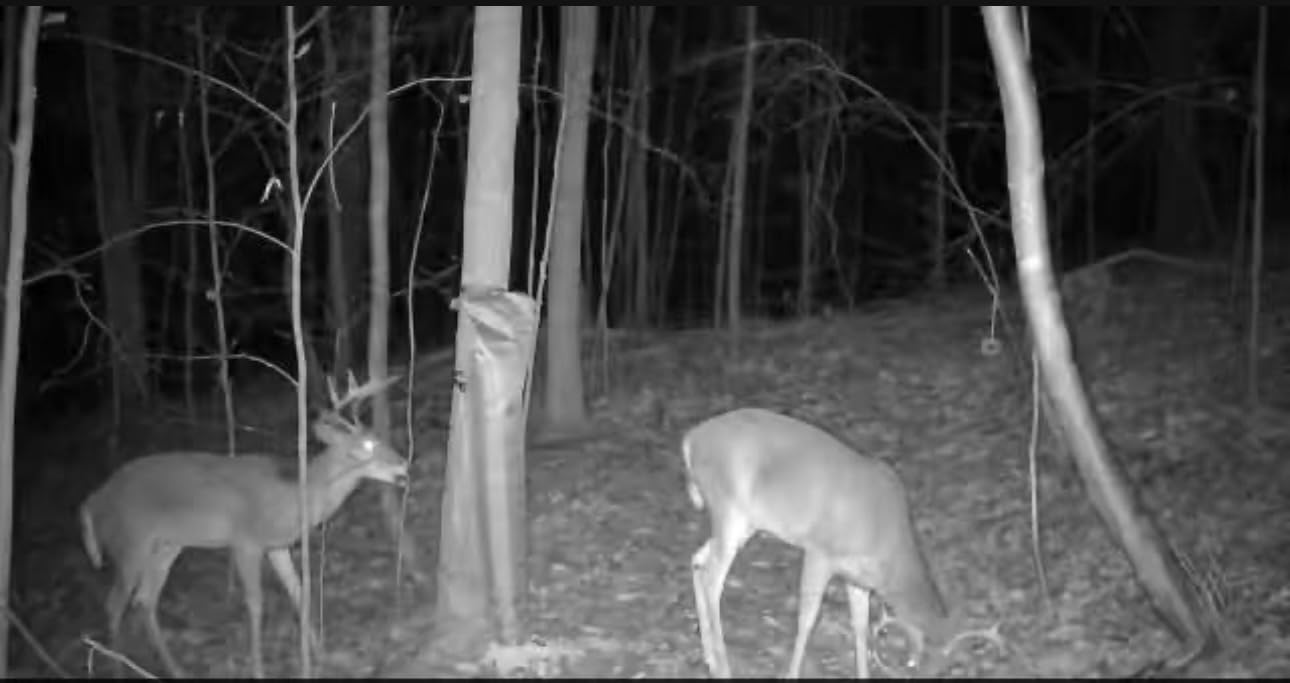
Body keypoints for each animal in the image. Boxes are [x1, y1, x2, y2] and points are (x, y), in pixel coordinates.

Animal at [79, 374, 409, 678]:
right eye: (366, 445)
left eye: (378, 437)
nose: (404, 463)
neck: (293, 496)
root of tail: (92, 503)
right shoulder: (245, 541)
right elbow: (255, 604)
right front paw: (259, 669)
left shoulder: (277, 545)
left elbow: (298, 591)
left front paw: (320, 653)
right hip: (129, 543)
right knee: (114, 604)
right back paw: (119, 668)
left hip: (166, 546)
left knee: (144, 600)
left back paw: (175, 670)